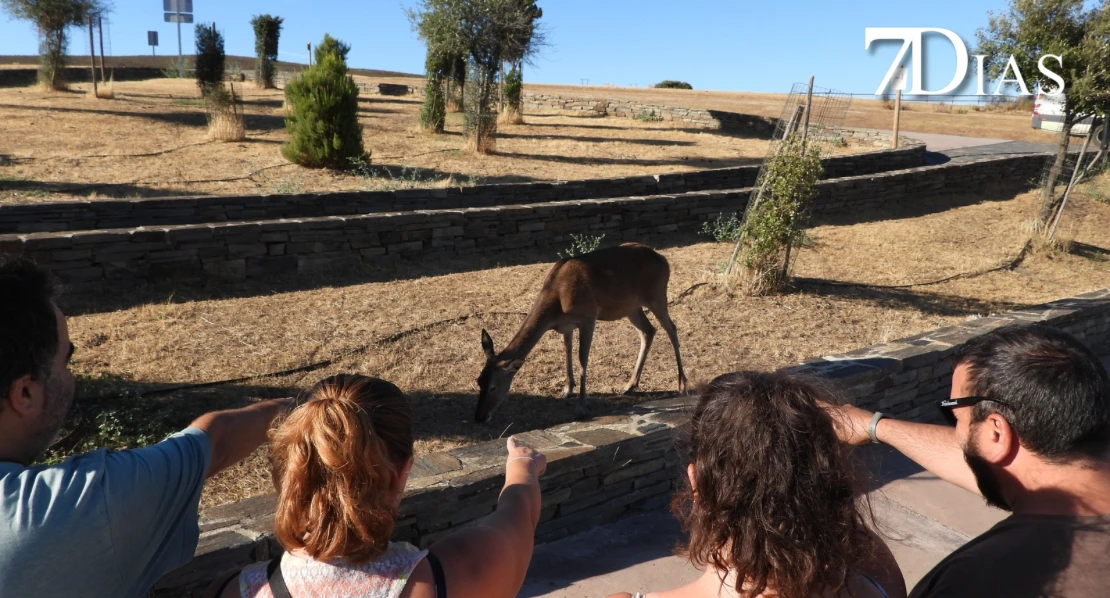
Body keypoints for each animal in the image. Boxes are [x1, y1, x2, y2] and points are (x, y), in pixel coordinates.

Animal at [475, 242, 687, 423]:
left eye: (493, 387)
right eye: (478, 381)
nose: (480, 417)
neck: (557, 301)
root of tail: (663, 259)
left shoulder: (589, 316)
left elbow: (582, 357)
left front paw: (581, 407)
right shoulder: (566, 326)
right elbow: (567, 350)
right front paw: (567, 389)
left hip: (657, 295)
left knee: (672, 328)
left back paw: (681, 384)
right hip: (632, 307)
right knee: (648, 330)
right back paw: (629, 385)